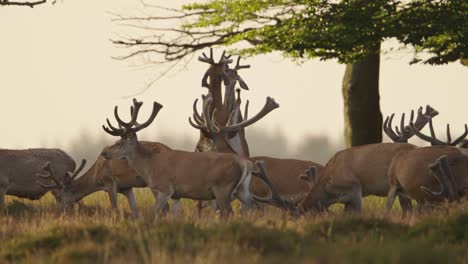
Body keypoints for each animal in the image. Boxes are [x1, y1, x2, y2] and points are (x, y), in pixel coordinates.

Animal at [100, 97, 284, 217]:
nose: (104, 152)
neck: (149, 166)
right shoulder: (177, 195)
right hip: (242, 189)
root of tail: (246, 163)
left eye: (119, 143)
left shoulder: (165, 188)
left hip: (223, 187)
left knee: (229, 212)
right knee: (255, 207)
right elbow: (175, 216)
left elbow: (155, 212)